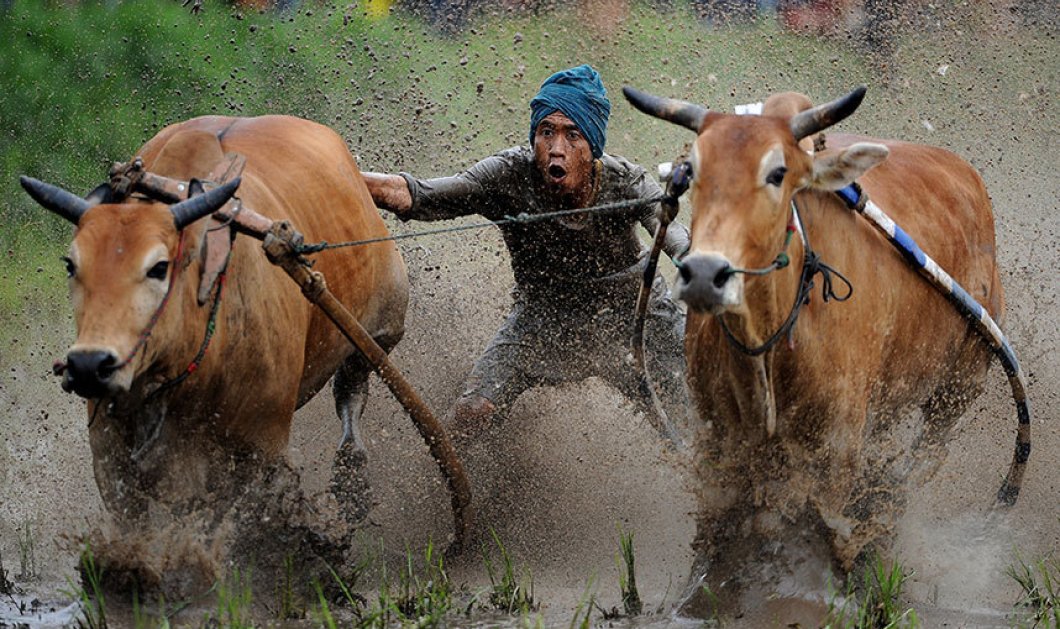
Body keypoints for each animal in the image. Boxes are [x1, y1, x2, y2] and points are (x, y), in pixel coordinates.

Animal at [21, 114, 409, 519]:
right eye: (71, 264)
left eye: (159, 267)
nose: (88, 365)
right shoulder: (113, 466)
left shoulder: (260, 453)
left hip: (382, 327)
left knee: (352, 391)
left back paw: (352, 476)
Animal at [623, 86, 1013, 593]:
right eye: (694, 172)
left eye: (777, 173)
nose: (705, 274)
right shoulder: (715, 441)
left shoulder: (838, 445)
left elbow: (829, 533)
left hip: (957, 390)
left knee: (917, 467)